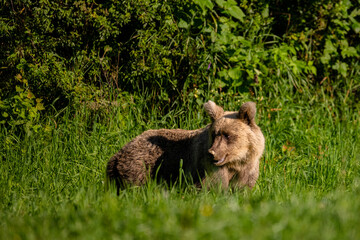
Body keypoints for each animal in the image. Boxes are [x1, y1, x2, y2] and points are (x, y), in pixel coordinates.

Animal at [106, 100, 264, 193]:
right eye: (215, 134)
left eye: (228, 135)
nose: (212, 152)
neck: (236, 162)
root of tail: (116, 155)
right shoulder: (208, 168)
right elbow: (212, 187)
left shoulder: (248, 168)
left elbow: (243, 188)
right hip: (141, 164)